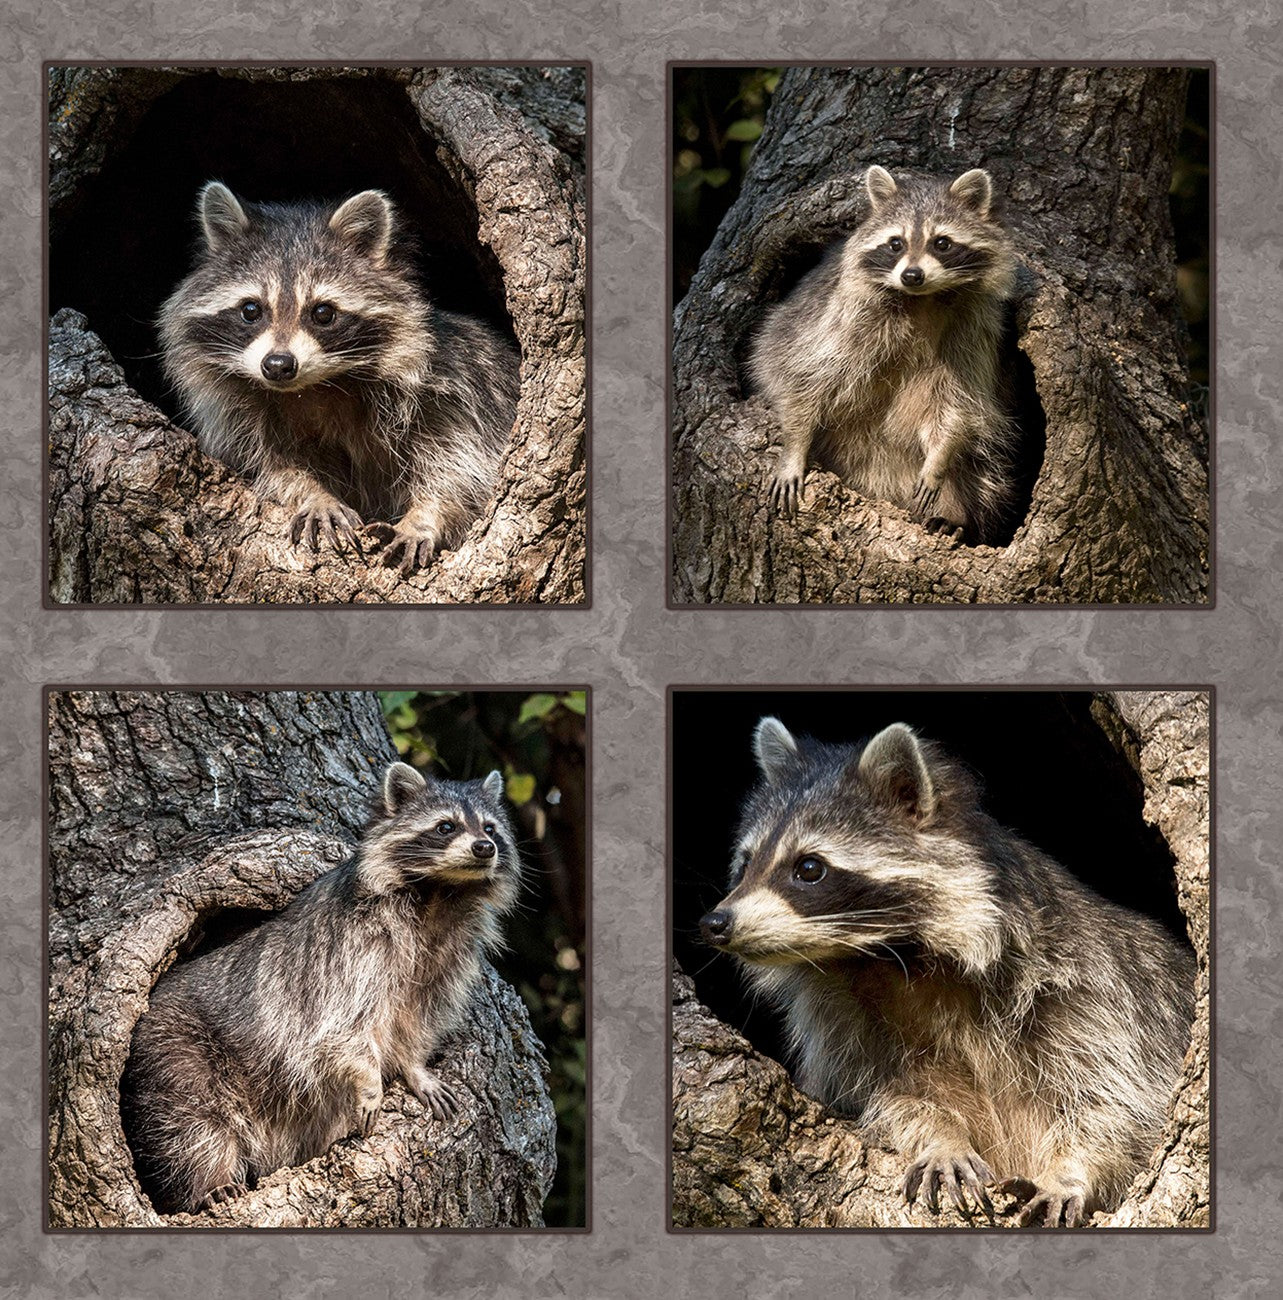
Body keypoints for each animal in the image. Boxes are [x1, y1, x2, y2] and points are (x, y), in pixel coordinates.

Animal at [120, 761, 520, 1215]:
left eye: (490, 827)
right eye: (446, 826)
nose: (484, 847)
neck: (441, 893)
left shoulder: (448, 957)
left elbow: (417, 1019)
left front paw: (414, 1067)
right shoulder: (353, 948)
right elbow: (341, 1027)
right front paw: (370, 1082)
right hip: (176, 1048)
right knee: (189, 1122)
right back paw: (210, 1181)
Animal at [159, 182, 520, 574]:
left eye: (322, 312)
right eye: (251, 310)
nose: (278, 365)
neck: (317, 387)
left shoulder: (453, 392)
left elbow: (461, 468)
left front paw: (425, 517)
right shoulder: (237, 417)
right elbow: (269, 466)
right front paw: (313, 494)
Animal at [700, 718, 1195, 1227]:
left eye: (809, 868)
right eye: (746, 863)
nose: (716, 923)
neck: (890, 959)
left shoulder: (1093, 991)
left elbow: (1117, 1105)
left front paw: (1070, 1172)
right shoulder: (842, 1026)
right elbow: (886, 1100)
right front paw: (941, 1138)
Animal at [748, 166, 1019, 543]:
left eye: (942, 243)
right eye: (896, 243)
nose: (912, 275)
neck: (922, 300)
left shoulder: (974, 329)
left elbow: (958, 403)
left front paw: (938, 459)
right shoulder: (844, 318)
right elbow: (805, 374)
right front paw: (794, 448)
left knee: (977, 467)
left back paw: (953, 514)